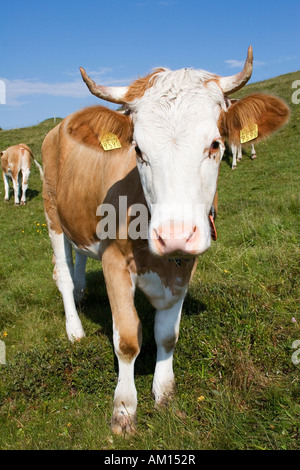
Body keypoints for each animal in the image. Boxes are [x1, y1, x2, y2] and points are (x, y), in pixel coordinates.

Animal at [41, 46, 290, 436]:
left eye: (216, 144)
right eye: (138, 150)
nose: (174, 234)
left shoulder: (185, 262)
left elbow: (167, 335)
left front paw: (165, 392)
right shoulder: (114, 262)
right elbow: (127, 340)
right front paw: (124, 408)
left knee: (80, 258)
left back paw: (82, 292)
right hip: (52, 214)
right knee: (62, 273)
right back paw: (74, 329)